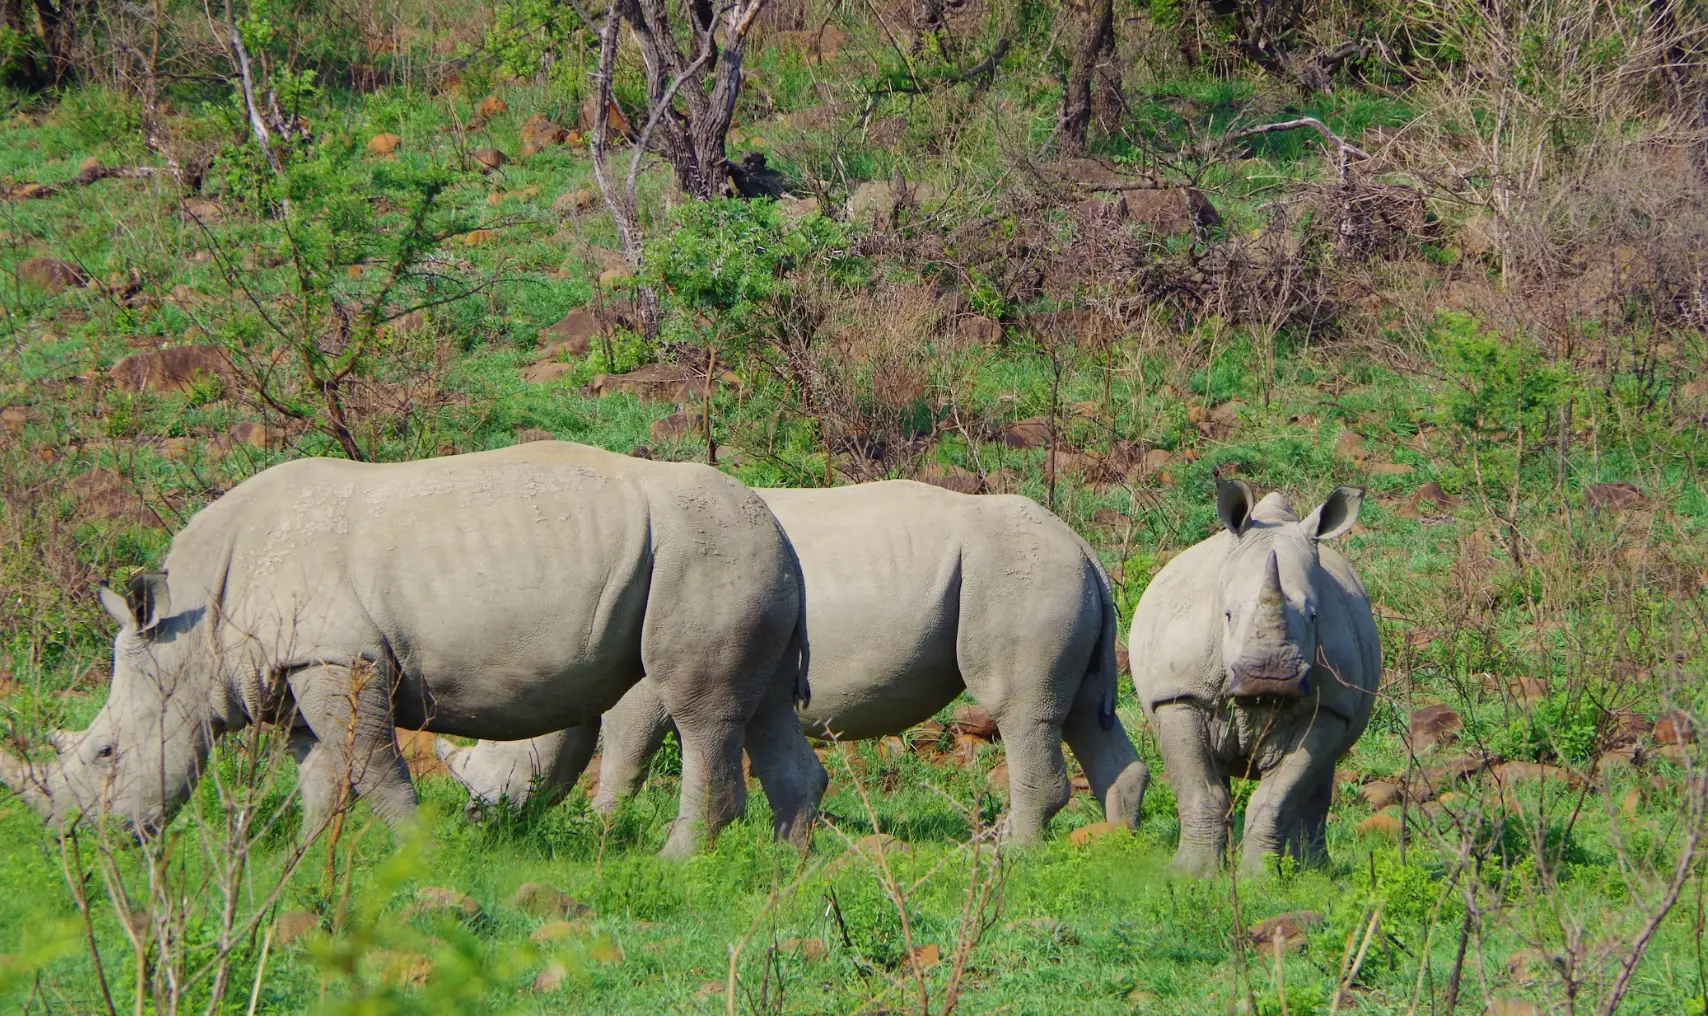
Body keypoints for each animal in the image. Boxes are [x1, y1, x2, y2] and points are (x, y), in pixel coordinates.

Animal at [0, 440, 826, 857]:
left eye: (106, 753)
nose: (71, 840)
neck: (193, 627)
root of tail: (779, 526)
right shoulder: (295, 668)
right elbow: (320, 772)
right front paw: (305, 865)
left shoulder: (339, 657)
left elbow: (371, 766)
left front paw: (417, 853)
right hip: (747, 559)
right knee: (762, 708)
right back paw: (788, 867)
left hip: (704, 554)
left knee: (701, 713)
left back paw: (679, 860)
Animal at [433, 481, 1147, 846]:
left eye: (498, 758)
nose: (480, 820)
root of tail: (1083, 545)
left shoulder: (649, 677)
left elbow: (626, 744)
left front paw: (601, 826)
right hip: (1054, 577)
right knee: (1083, 712)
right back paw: (1119, 848)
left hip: (1021, 575)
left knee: (1021, 710)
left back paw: (1008, 853)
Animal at [1127, 481, 1380, 881]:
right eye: (1227, 615)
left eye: (1313, 616)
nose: (1270, 676)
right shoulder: (1180, 694)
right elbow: (1199, 788)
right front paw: (1191, 874)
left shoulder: (1327, 706)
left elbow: (1276, 798)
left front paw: (1259, 879)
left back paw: (1313, 872)